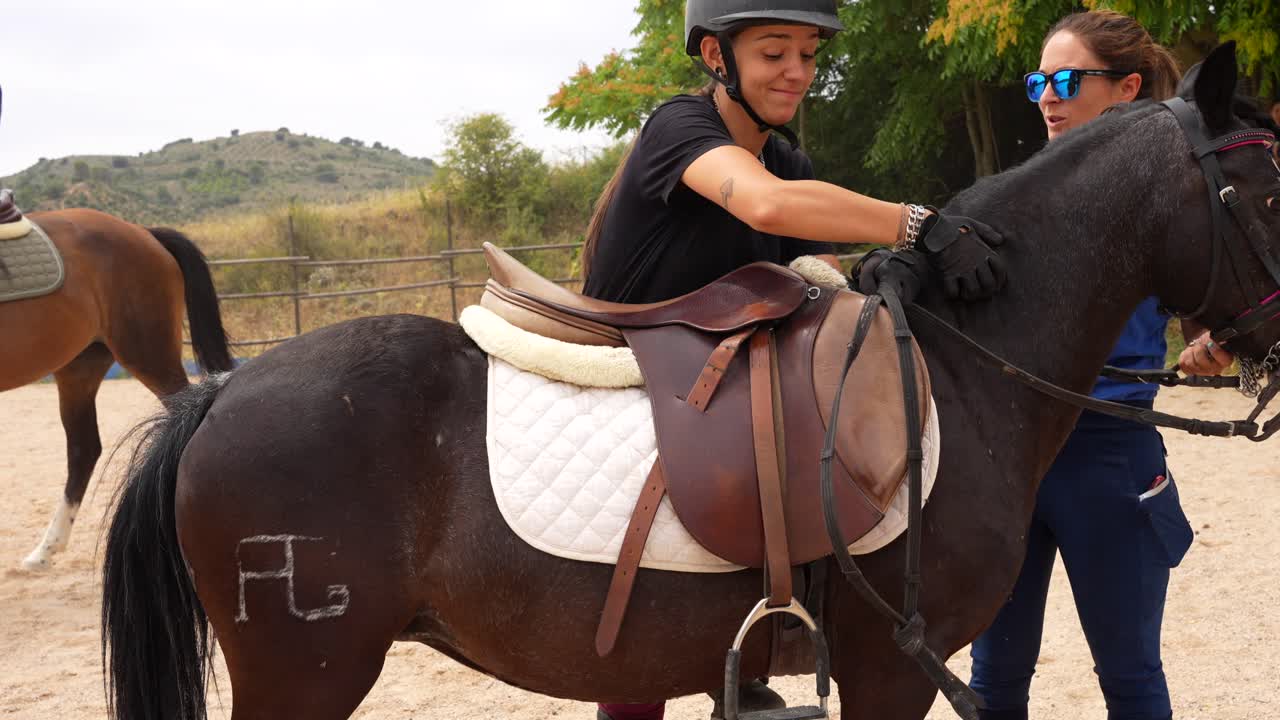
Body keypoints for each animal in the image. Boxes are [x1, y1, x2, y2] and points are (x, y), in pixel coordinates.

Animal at [101, 44, 1280, 720]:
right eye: (1267, 183)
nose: (1263, 348)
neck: (955, 367)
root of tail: (220, 395)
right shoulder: (893, 669)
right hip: (305, 671)